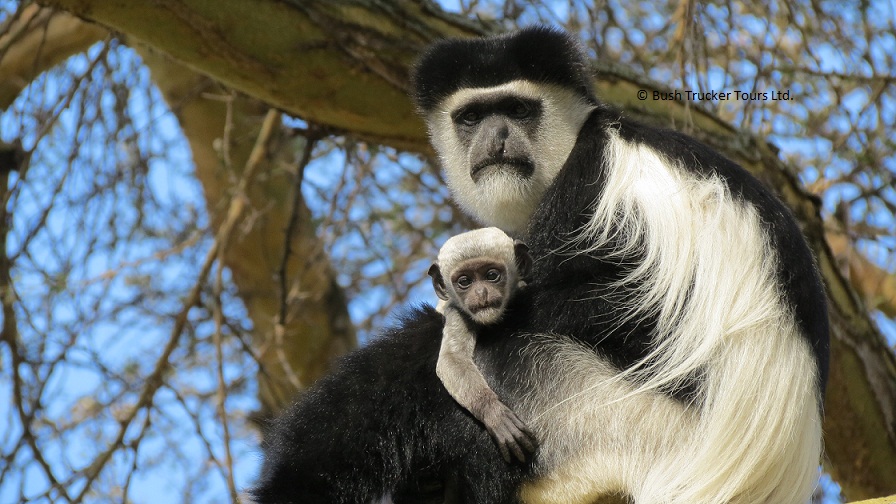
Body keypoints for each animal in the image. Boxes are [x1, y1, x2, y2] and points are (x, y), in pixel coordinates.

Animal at [426, 228, 532, 464]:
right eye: (465, 281)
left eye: (491, 275)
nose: (481, 293)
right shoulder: (457, 313)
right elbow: (452, 359)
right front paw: (495, 414)